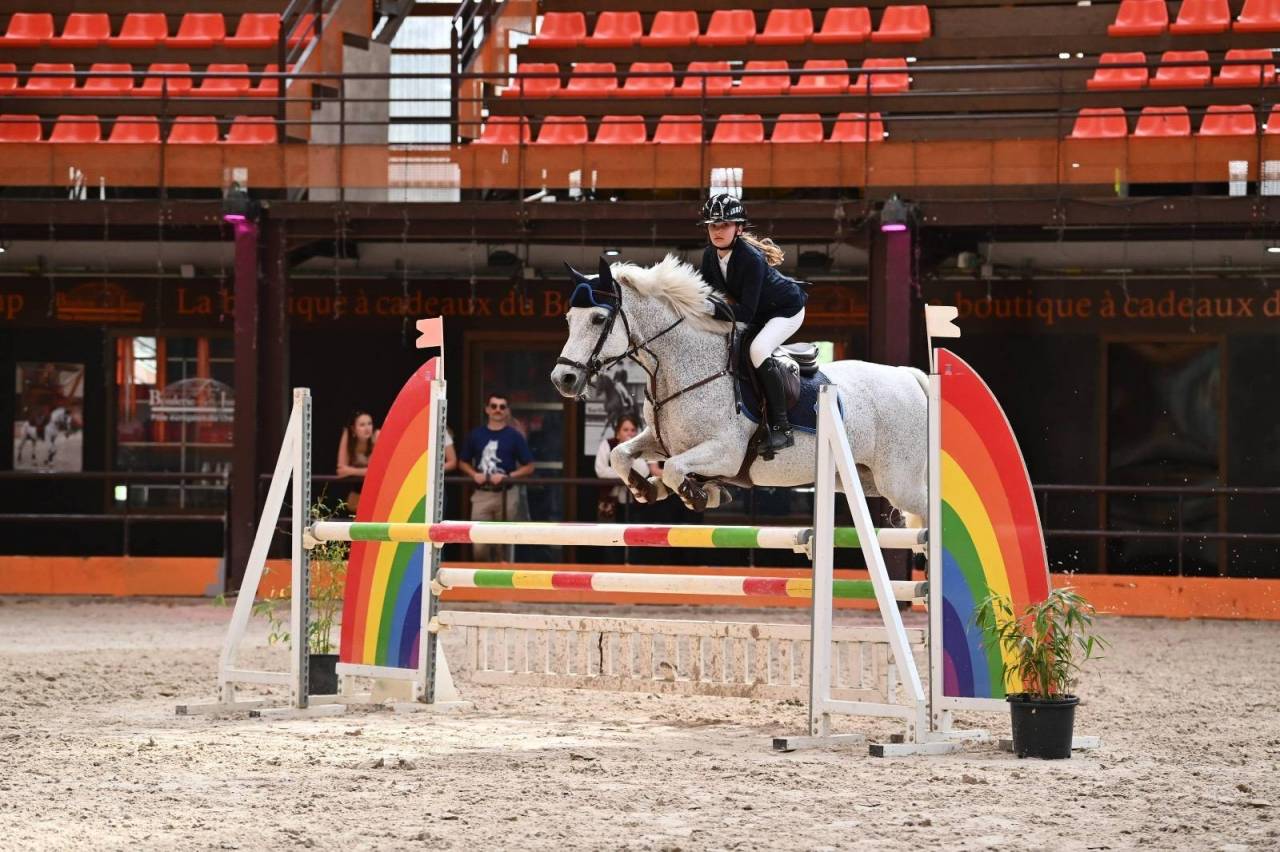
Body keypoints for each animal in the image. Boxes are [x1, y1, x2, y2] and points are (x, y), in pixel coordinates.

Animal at [549, 255, 929, 529]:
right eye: (568, 319)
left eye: (598, 319)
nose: (562, 378)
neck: (679, 367)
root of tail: (910, 377)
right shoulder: (662, 439)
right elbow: (621, 455)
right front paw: (647, 488)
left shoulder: (726, 452)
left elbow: (673, 469)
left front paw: (701, 495)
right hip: (867, 479)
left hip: (899, 482)